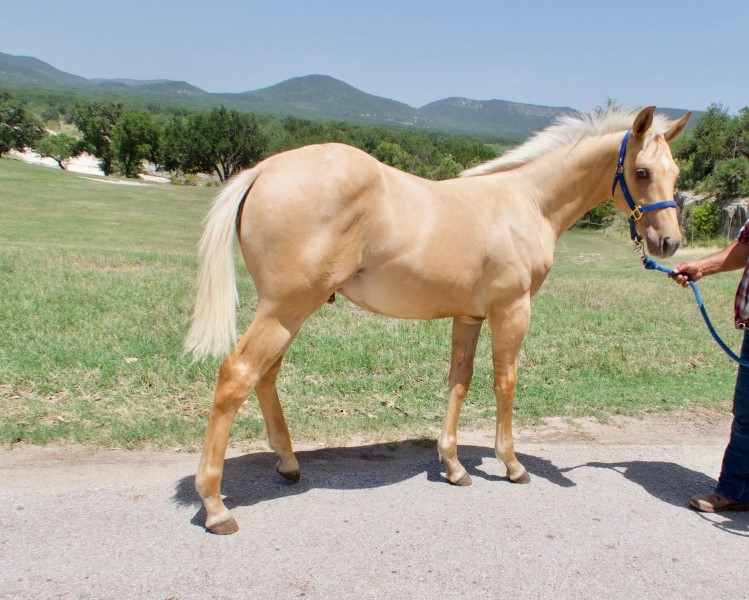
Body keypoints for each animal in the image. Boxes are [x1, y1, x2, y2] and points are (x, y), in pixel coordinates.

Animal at [186, 105, 688, 532]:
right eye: (641, 172)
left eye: (676, 175)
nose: (668, 243)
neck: (526, 202)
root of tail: (263, 170)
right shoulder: (512, 310)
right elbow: (505, 381)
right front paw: (512, 465)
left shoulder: (468, 316)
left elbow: (458, 381)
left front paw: (453, 466)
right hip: (287, 308)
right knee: (237, 375)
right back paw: (215, 506)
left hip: (287, 312)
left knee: (266, 375)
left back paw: (288, 464)